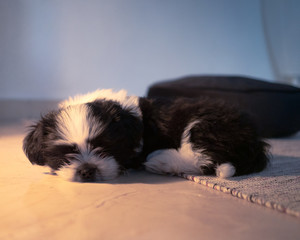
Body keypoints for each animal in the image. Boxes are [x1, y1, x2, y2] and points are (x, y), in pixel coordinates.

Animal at [22, 89, 268, 182]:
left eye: (105, 147)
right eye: (66, 154)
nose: (87, 170)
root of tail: (255, 141)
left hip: (204, 126)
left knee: (202, 158)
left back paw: (163, 161)